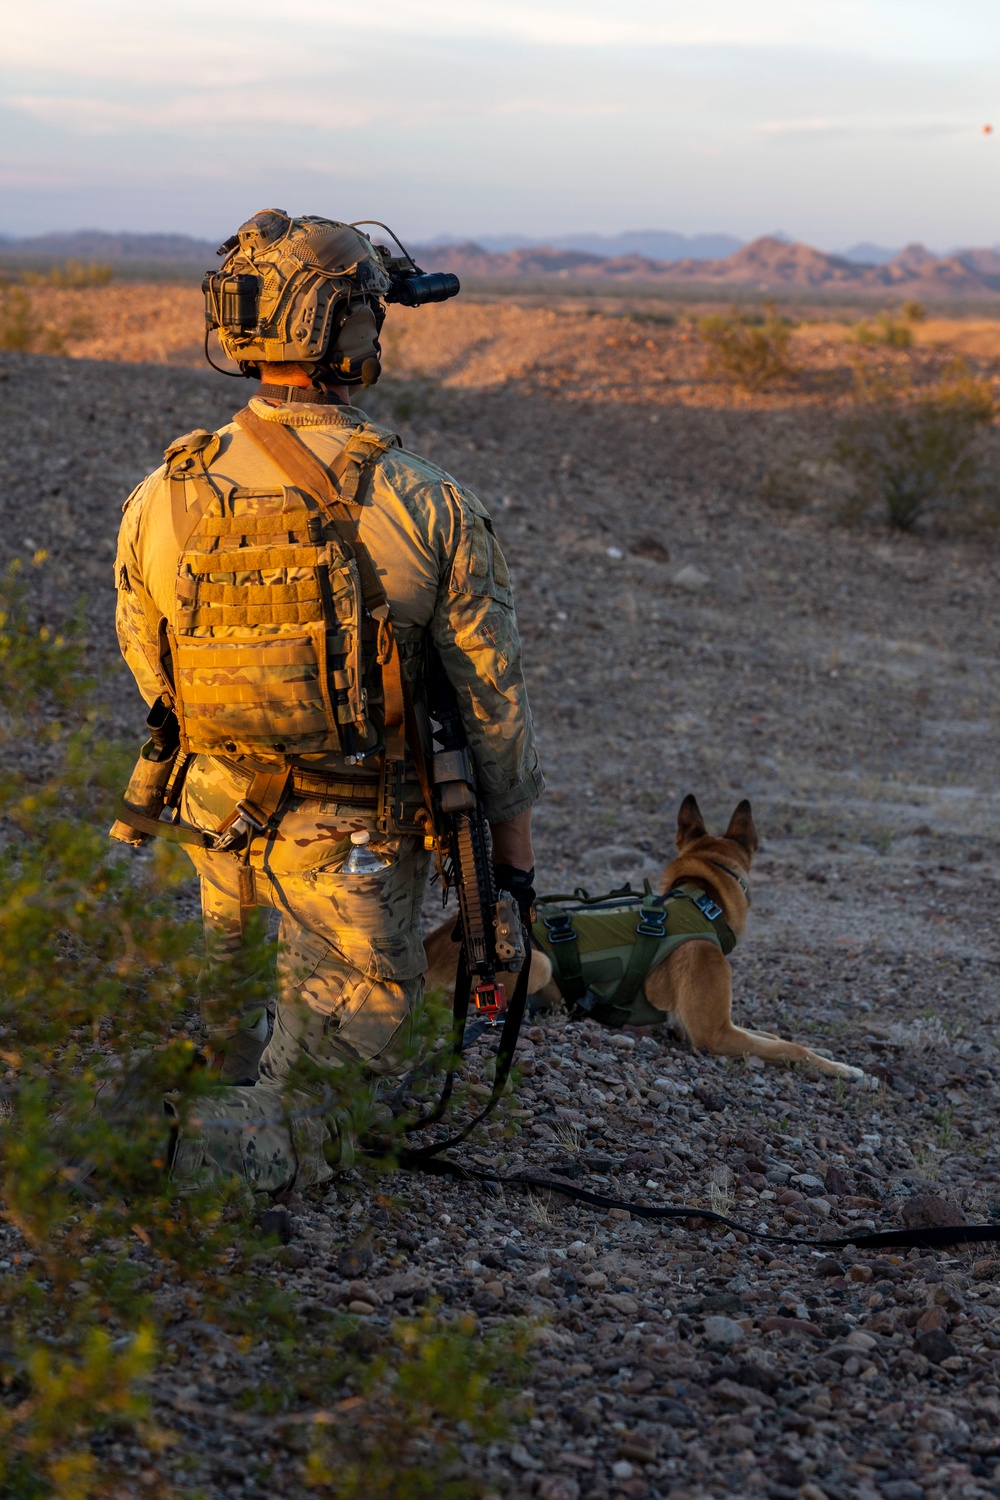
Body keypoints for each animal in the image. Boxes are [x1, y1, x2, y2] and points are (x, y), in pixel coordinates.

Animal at [419, 798, 863, 1080]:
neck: (703, 902)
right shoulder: (714, 1033)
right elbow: (790, 1048)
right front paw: (846, 1070)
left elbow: (775, 1036)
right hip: (538, 964)